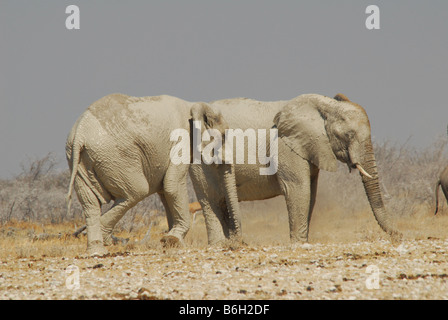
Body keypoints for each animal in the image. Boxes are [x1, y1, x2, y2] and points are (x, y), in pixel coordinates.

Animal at [65, 93, 242, 255]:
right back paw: (105, 241)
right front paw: (173, 240)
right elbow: (172, 185)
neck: (194, 105)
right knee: (137, 191)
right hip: (116, 156)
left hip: (80, 158)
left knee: (90, 203)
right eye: (224, 136)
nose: (236, 241)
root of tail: (80, 132)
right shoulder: (182, 139)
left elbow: (165, 190)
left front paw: (171, 242)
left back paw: (97, 251)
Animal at [189, 92, 402, 245]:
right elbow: (299, 190)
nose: (399, 236)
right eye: (348, 135)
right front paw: (299, 244)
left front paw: (303, 241)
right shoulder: (285, 145)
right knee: (210, 199)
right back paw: (220, 245)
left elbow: (311, 194)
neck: (325, 106)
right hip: (200, 160)